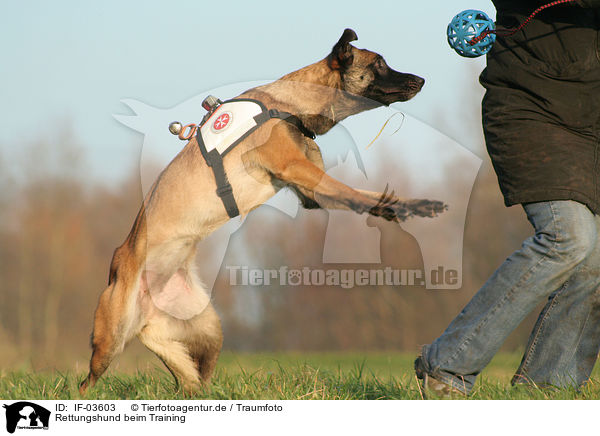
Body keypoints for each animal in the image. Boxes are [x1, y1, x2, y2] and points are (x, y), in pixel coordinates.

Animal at [79, 28, 446, 396]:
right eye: (379, 64)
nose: (422, 79)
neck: (290, 104)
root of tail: (144, 312)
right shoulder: (297, 168)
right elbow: (351, 191)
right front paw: (405, 205)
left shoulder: (310, 190)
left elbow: (355, 195)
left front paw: (401, 206)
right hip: (110, 339)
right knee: (86, 382)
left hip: (209, 333)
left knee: (193, 381)